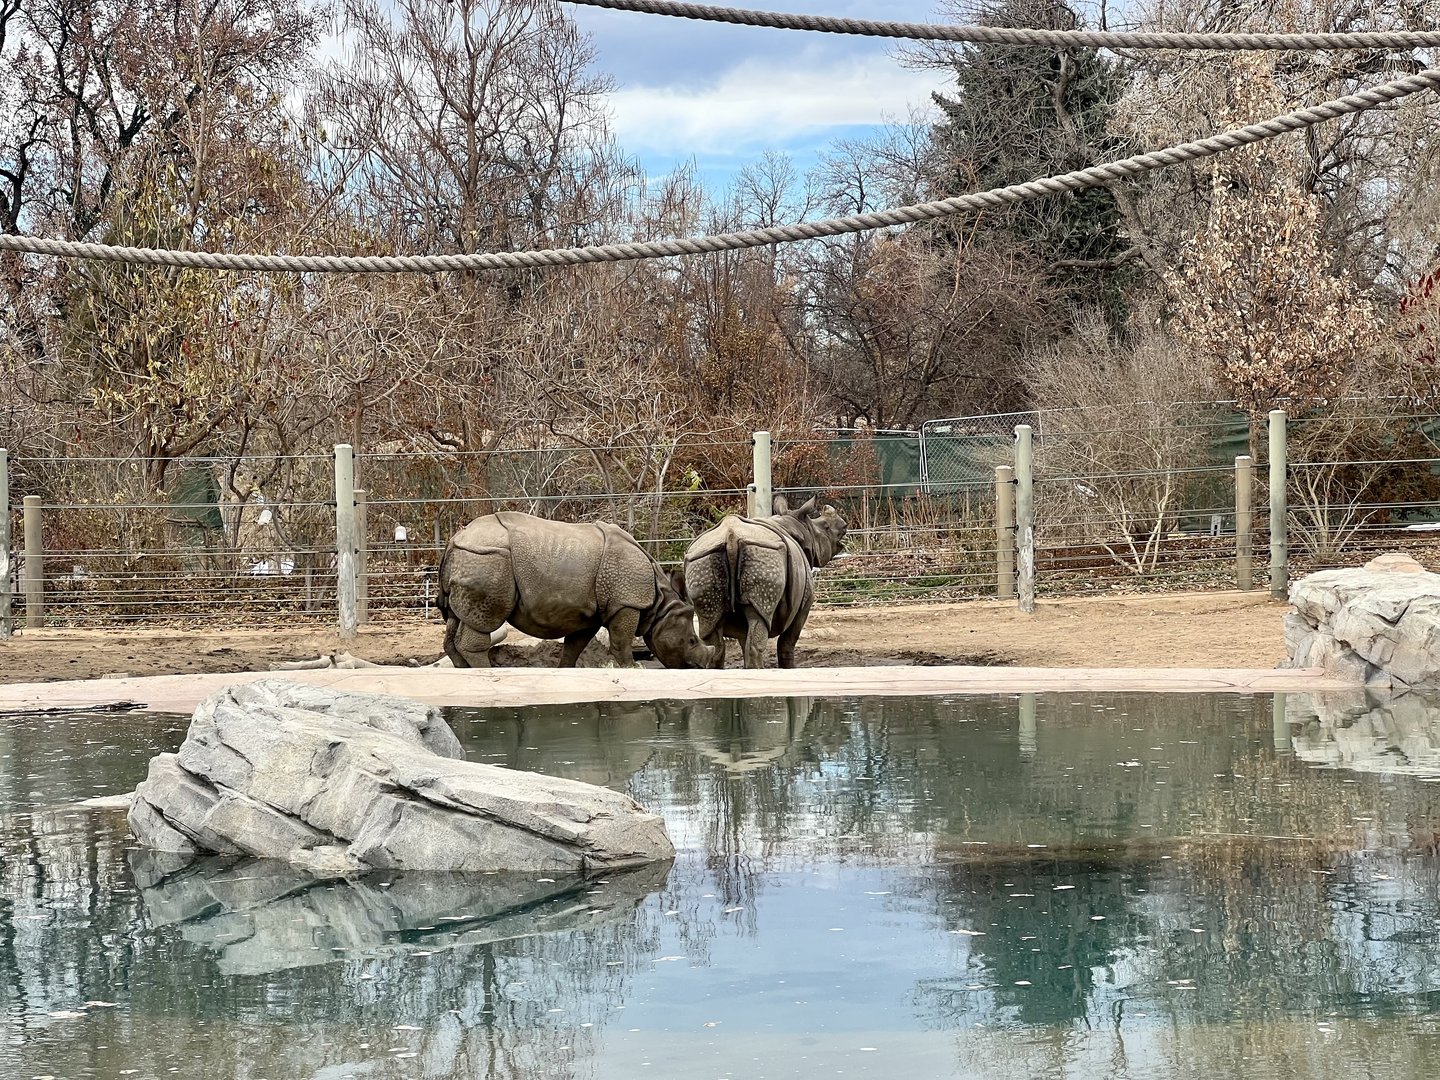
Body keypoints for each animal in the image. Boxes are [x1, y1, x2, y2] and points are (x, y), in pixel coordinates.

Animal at [438, 511, 712, 669]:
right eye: (691, 641)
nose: (702, 665)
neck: (659, 604)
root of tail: (454, 540)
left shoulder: (590, 614)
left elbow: (575, 645)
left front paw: (565, 670)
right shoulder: (627, 602)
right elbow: (622, 640)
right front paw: (633, 669)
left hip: (475, 557)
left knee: (455, 619)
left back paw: (464, 669)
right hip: (489, 558)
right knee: (483, 622)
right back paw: (486, 670)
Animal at [683, 496, 847, 669]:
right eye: (826, 527)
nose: (844, 525)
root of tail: (731, 538)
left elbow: (744, 639)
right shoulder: (805, 602)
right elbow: (787, 642)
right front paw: (789, 668)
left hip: (701, 560)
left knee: (712, 631)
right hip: (763, 554)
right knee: (758, 622)